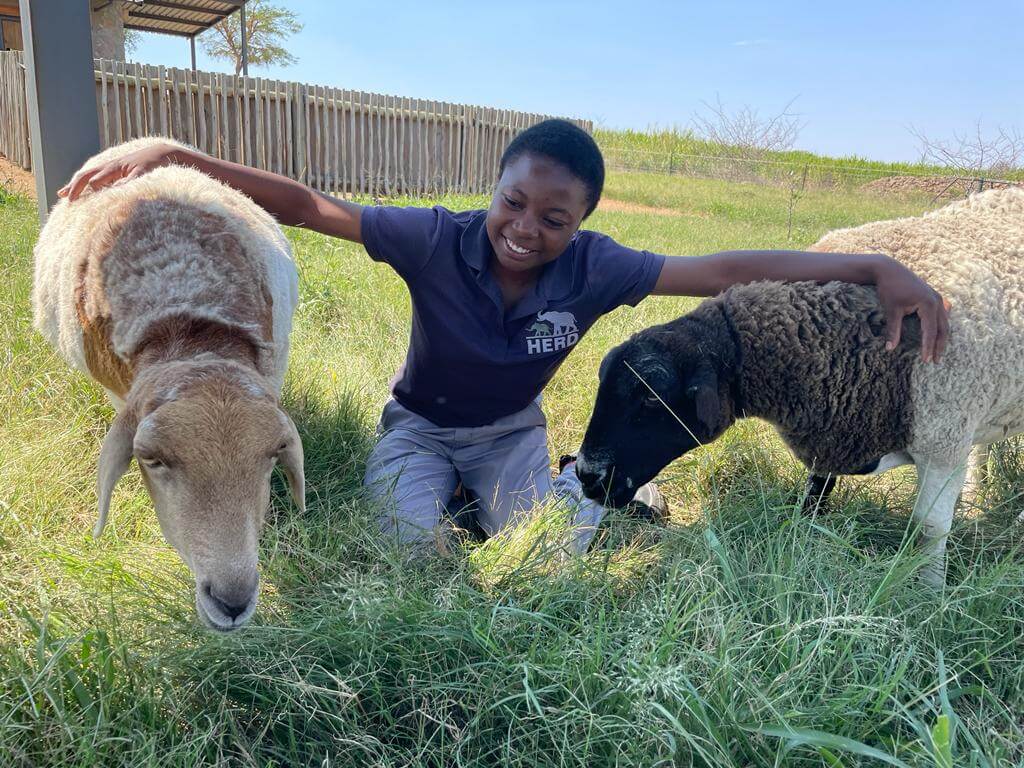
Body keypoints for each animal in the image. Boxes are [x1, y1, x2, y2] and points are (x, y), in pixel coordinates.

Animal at [576, 187, 1024, 584]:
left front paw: (929, 593)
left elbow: (928, 530)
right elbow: (815, 495)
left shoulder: (942, 442)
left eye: (650, 399)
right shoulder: (834, 419)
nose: (586, 476)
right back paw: (977, 501)